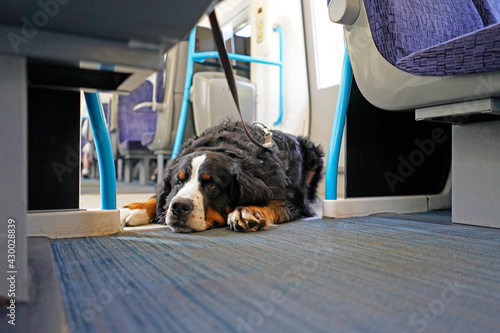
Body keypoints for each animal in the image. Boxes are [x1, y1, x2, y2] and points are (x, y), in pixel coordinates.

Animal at [121, 120, 324, 232]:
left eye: (212, 186)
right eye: (178, 181)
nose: (179, 207)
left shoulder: (294, 200)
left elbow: (273, 203)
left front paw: (247, 211)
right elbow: (160, 196)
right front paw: (135, 208)